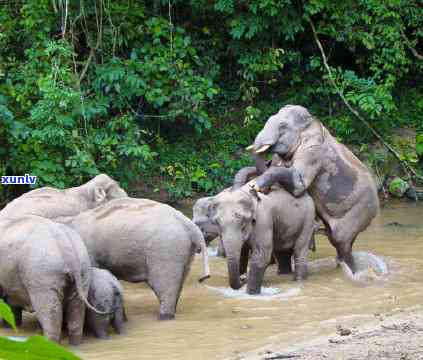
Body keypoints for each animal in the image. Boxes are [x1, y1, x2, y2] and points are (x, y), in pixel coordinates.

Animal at [0, 215, 104, 344]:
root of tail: (65, 243)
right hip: (83, 270)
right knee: (77, 308)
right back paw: (75, 344)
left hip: (42, 275)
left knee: (50, 312)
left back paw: (48, 343)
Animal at [66, 198, 210, 320]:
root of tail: (189, 225)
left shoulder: (89, 252)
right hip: (184, 252)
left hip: (165, 250)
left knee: (163, 286)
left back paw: (164, 317)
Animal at [240, 105, 380, 272]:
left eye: (283, 127)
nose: (261, 189)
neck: (311, 122)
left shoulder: (313, 151)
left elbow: (299, 183)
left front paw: (256, 186)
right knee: (337, 241)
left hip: (359, 211)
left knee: (341, 240)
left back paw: (353, 271)